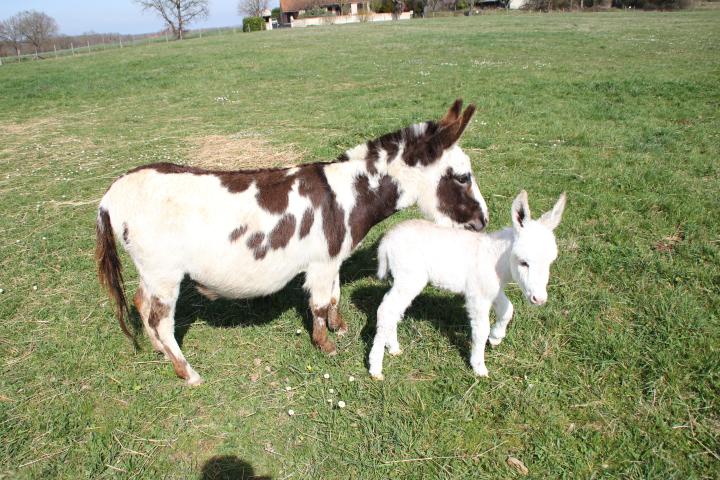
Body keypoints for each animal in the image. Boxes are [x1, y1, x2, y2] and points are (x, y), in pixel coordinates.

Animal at [368, 189, 564, 380]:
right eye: (523, 262)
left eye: (551, 261)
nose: (539, 299)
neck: (495, 258)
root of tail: (386, 239)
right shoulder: (478, 296)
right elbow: (481, 329)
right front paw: (479, 367)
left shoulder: (493, 290)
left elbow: (508, 309)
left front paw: (496, 337)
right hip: (410, 277)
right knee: (387, 309)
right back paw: (376, 368)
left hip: (404, 279)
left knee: (393, 310)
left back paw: (393, 348)